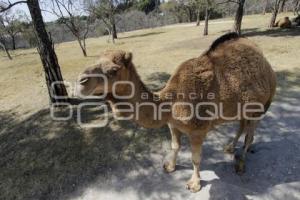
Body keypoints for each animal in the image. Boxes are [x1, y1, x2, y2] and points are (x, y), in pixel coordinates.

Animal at [77, 32, 276, 192]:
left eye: (113, 70)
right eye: (95, 61)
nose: (81, 81)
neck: (169, 104)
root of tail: (266, 64)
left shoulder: (198, 130)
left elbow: (196, 158)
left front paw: (194, 184)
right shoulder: (172, 124)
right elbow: (175, 146)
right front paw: (170, 167)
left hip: (262, 105)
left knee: (250, 135)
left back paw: (240, 163)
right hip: (244, 108)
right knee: (242, 125)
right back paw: (229, 147)